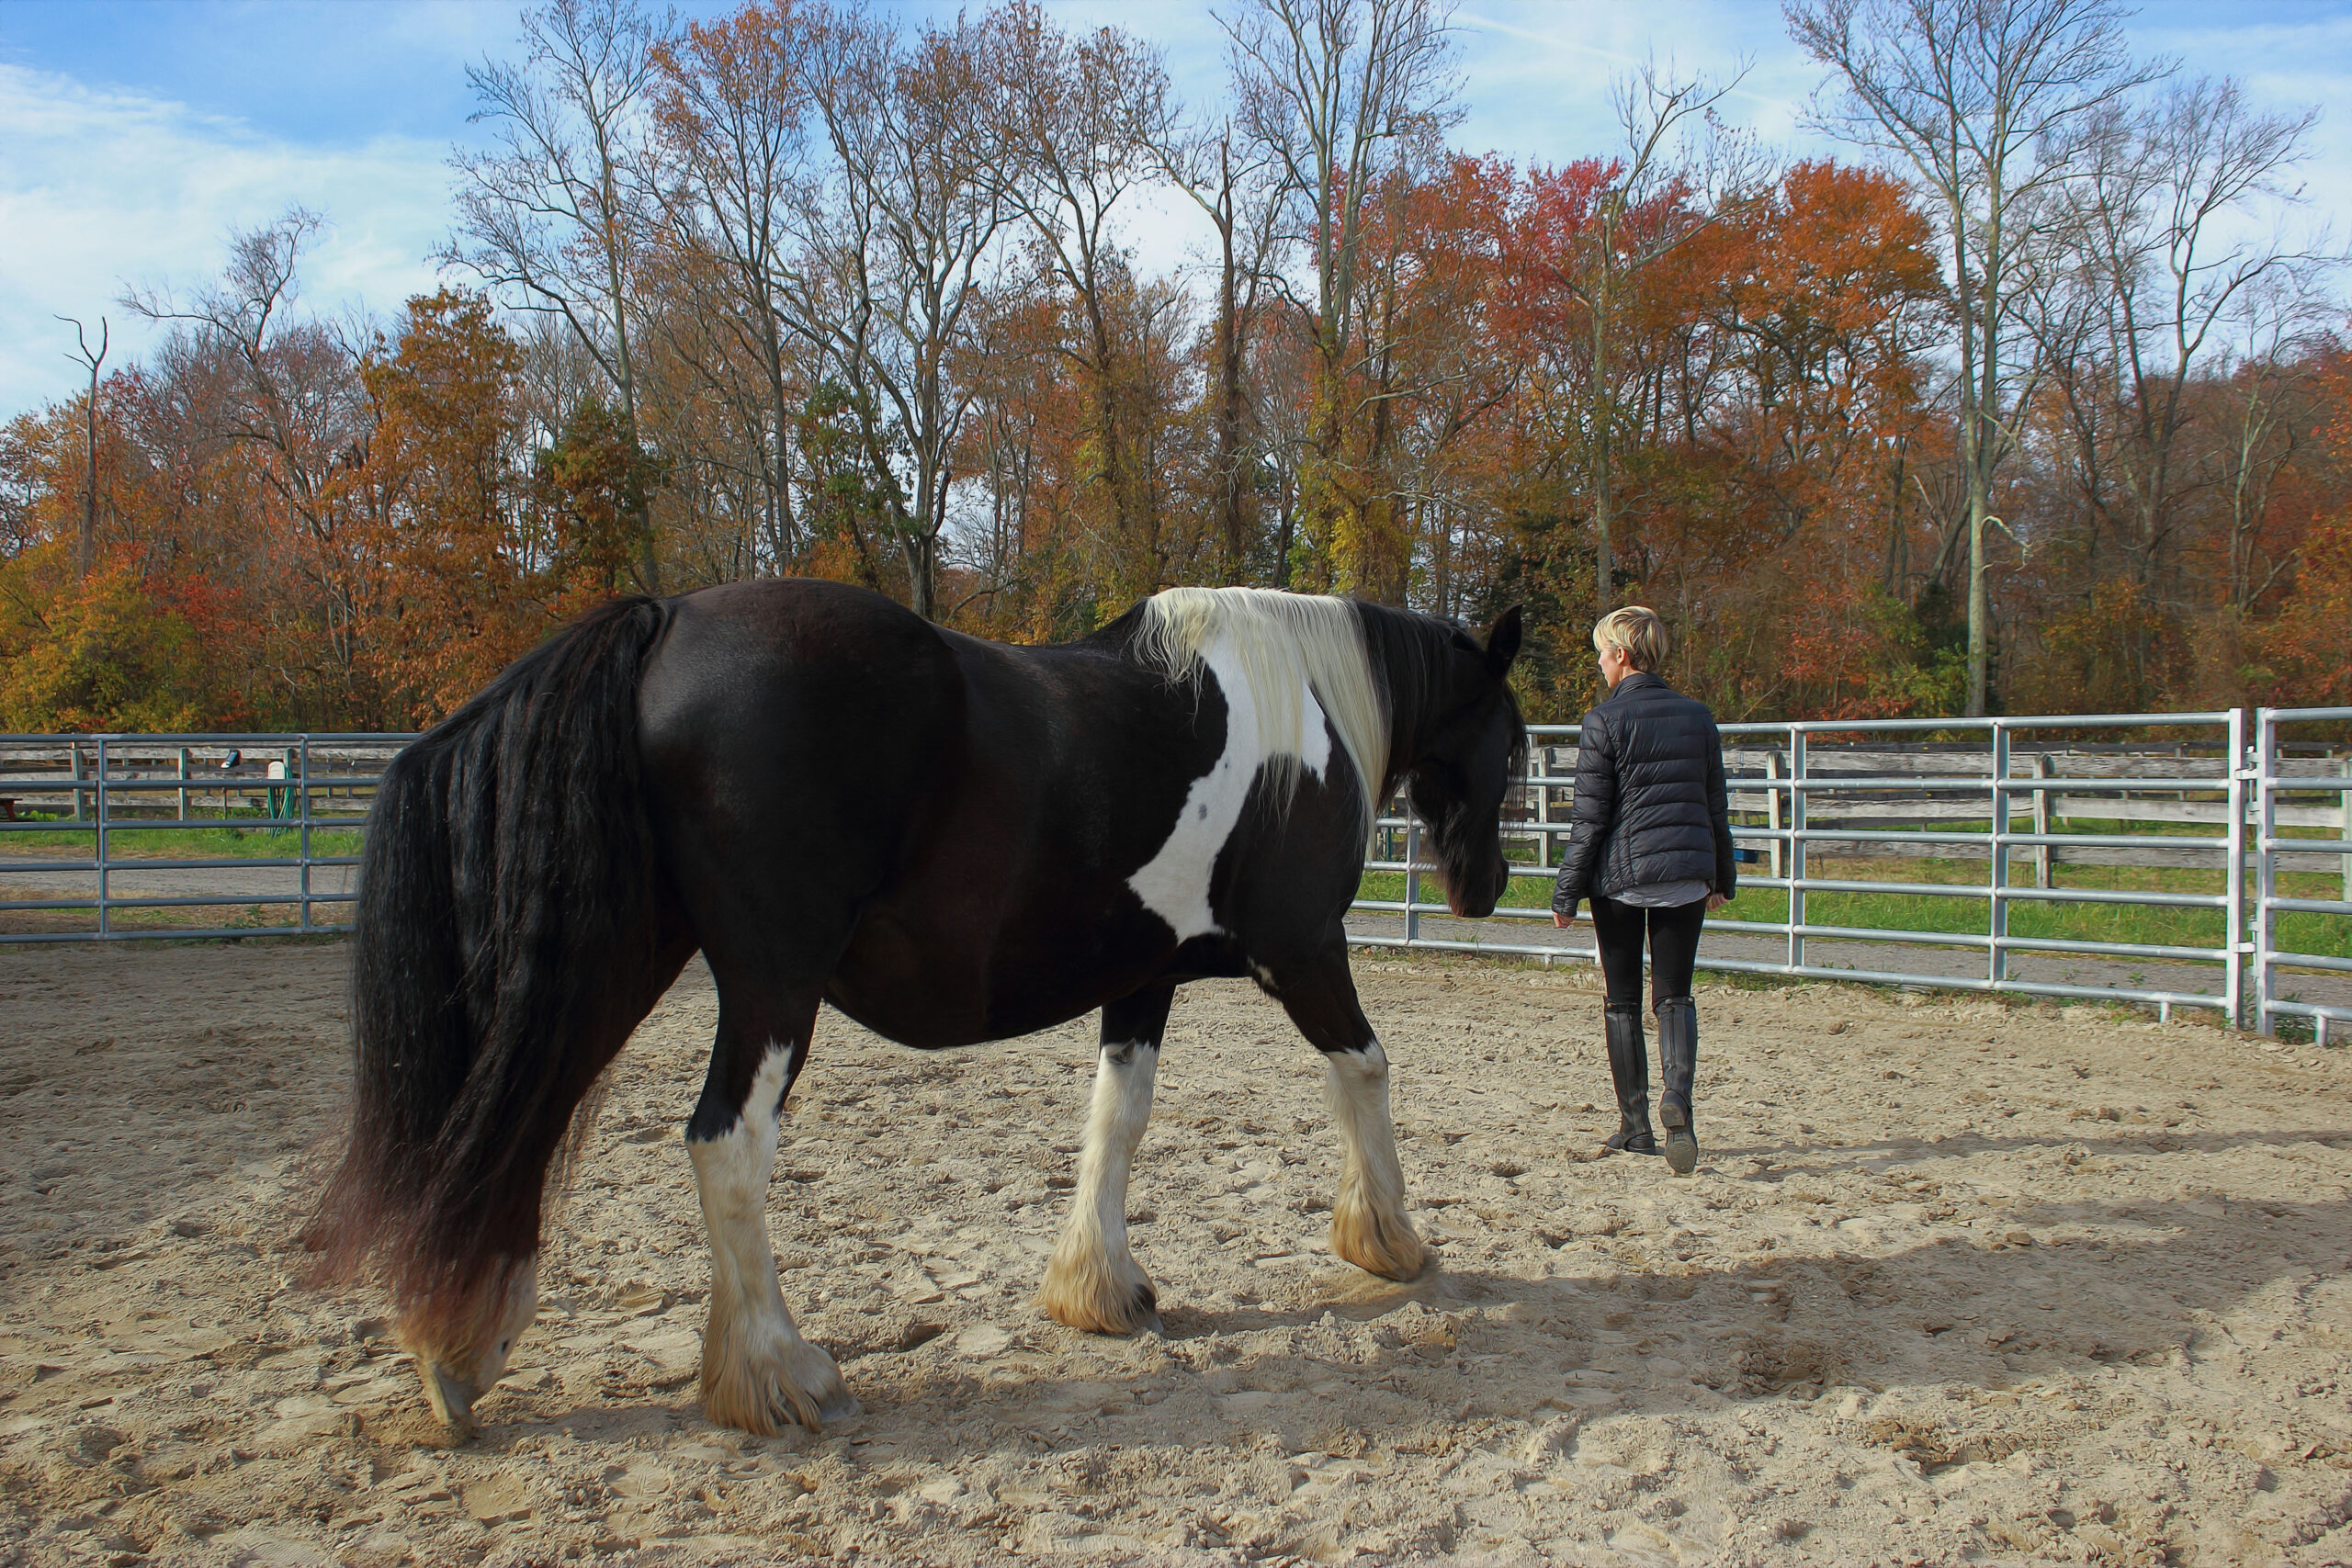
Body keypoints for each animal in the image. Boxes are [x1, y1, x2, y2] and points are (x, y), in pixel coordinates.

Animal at [307, 580, 1526, 1438]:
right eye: (1514, 741)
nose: (1488, 887)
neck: (1294, 711)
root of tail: (666, 620)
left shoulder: (1141, 979)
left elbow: (1117, 1121)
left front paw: (1098, 1286)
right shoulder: (1304, 953)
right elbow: (1365, 1070)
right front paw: (1390, 1241)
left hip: (617, 953)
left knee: (518, 1118)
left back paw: (459, 1359)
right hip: (768, 983)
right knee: (723, 1145)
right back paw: (777, 1375)